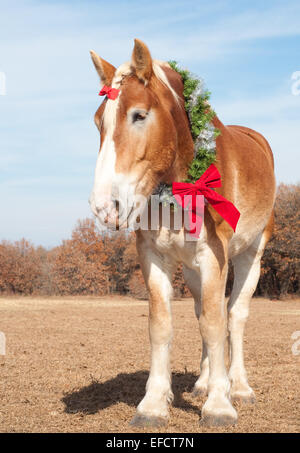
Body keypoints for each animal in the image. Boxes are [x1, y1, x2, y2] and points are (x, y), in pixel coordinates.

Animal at [88, 39, 276, 428]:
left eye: (139, 115)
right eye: (99, 121)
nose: (105, 206)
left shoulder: (214, 257)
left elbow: (217, 325)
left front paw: (220, 405)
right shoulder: (155, 257)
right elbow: (163, 326)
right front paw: (153, 404)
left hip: (250, 256)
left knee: (235, 316)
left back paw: (239, 387)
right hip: (191, 269)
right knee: (203, 311)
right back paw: (203, 383)